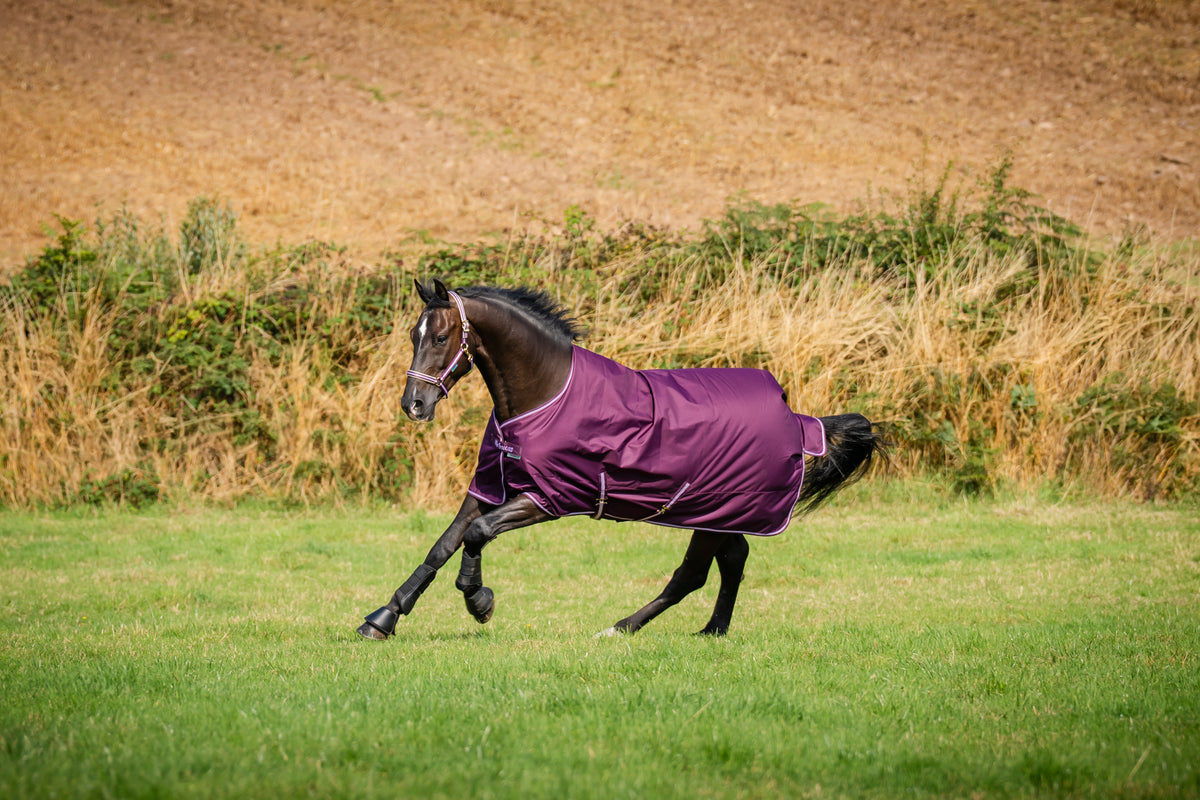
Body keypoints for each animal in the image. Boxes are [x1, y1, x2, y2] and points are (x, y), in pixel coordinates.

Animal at [357, 279, 888, 640]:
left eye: (440, 338)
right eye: (413, 335)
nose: (414, 405)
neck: (544, 395)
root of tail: (794, 415)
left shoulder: (549, 497)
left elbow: (477, 534)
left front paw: (479, 602)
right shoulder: (491, 485)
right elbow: (443, 545)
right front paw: (382, 619)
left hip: (714, 509)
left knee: (694, 573)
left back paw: (621, 627)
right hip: (721, 512)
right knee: (732, 559)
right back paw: (710, 629)